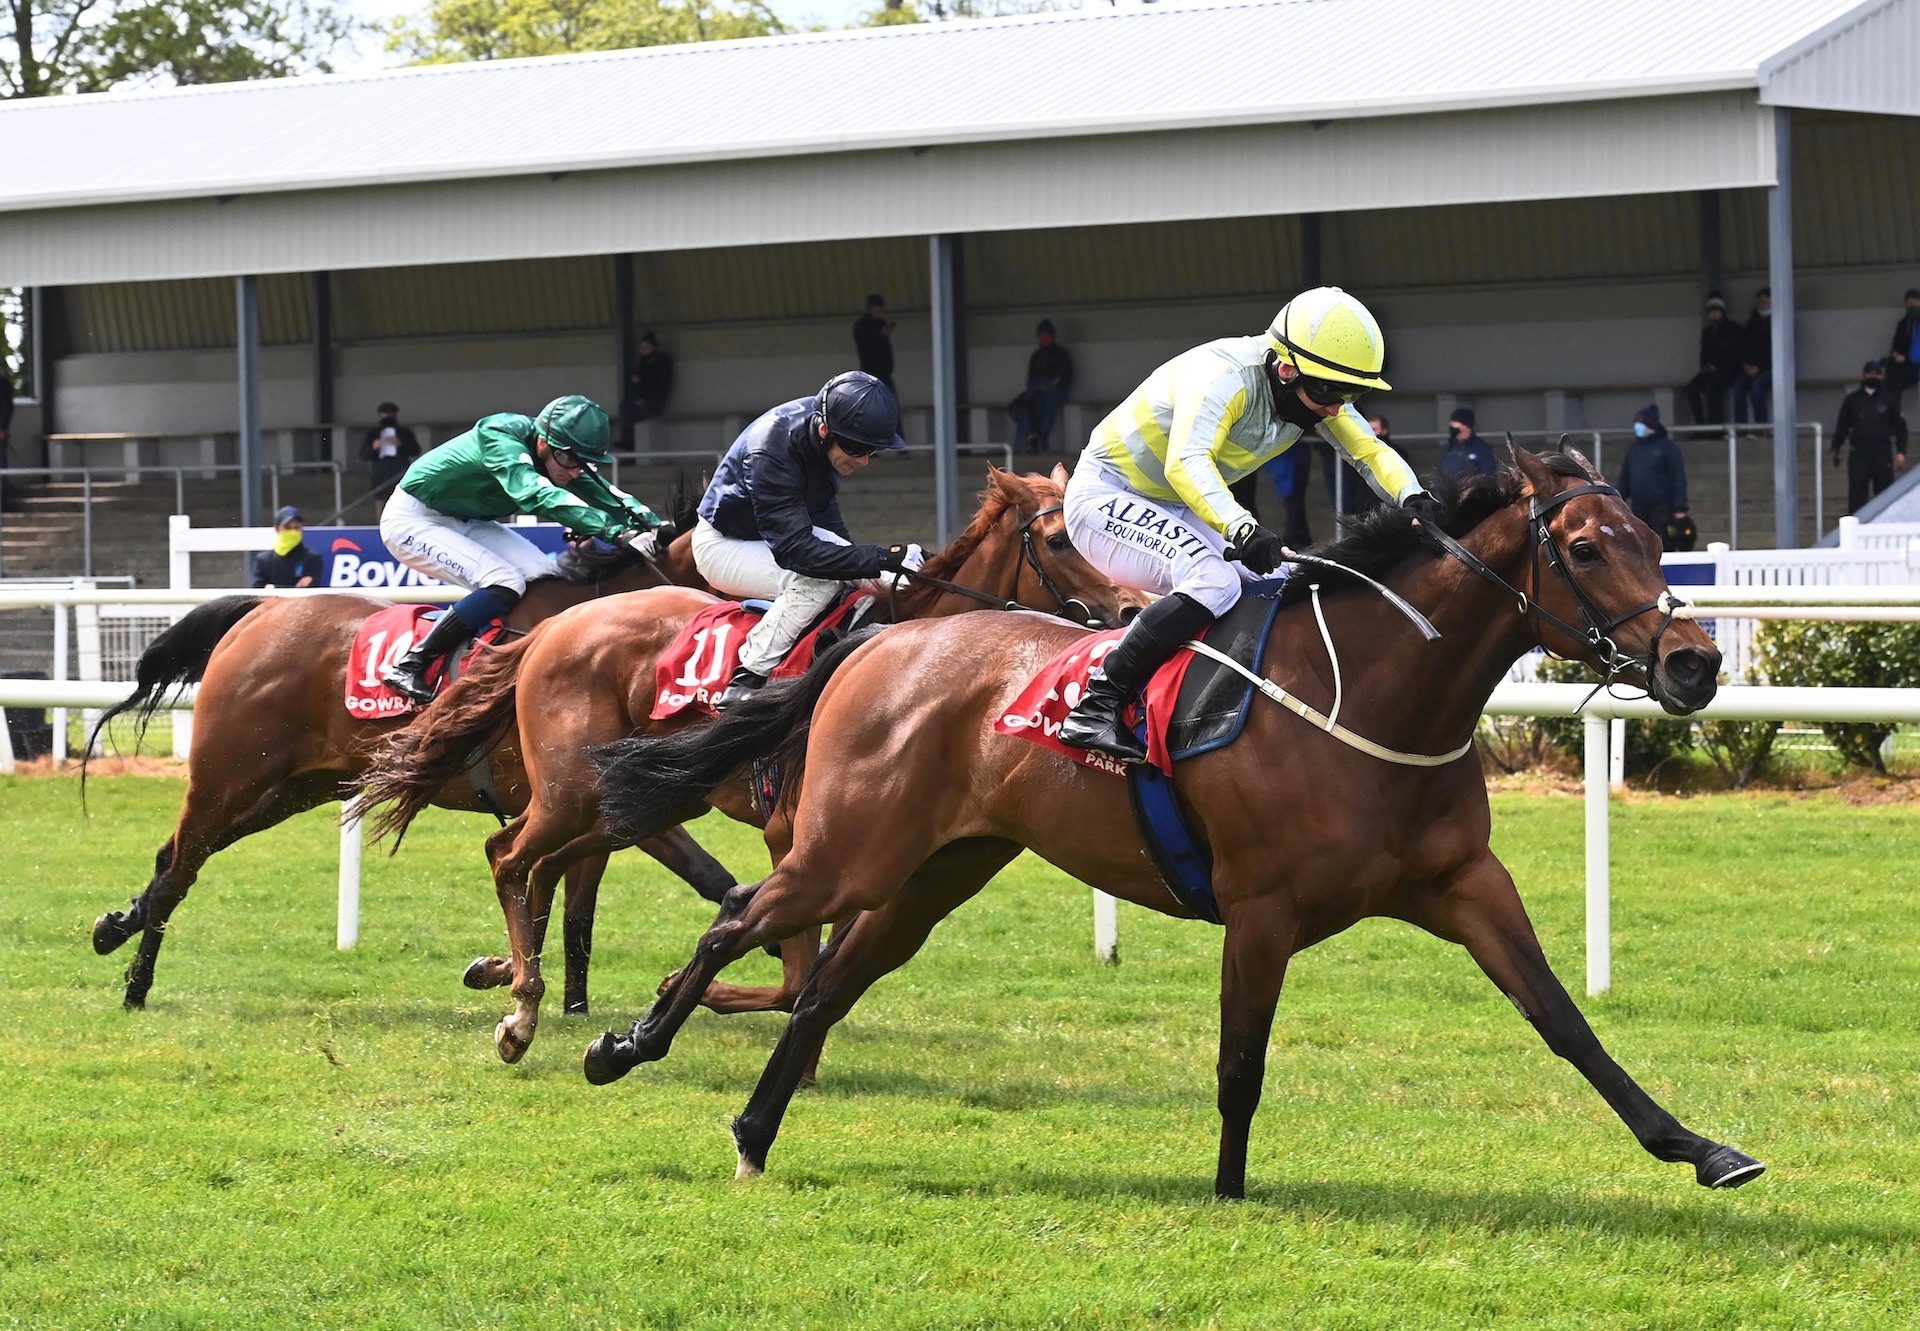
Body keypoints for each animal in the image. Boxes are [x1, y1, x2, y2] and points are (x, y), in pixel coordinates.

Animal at [80, 526, 733, 1014]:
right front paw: (513, 979)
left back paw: (116, 927)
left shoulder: (614, 808)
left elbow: (579, 907)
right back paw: (136, 986)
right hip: (228, 775)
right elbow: (679, 881)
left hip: (290, 789)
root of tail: (262, 609)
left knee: (178, 858)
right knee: (181, 865)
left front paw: (559, 1000)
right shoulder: (595, 802)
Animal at [351, 462, 1128, 1067]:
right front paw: (676, 998)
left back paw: (508, 976)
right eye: (1060, 538)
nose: (1130, 608)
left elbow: (807, 964)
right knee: (508, 853)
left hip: (644, 794)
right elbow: (792, 975)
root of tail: (553, 626)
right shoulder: (794, 833)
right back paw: (521, 1013)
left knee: (542, 866)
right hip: (573, 789)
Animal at [583, 451, 1766, 1198]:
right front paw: (1231, 1191)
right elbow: (1241, 1063)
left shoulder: (1465, 883)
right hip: (848, 849)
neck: (1372, 693)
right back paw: (622, 1044)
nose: (1694, 663)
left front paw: (1703, 1147)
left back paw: (752, 1131)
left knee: (826, 985)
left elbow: (1565, 1021)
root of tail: (882, 642)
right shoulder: (1261, 908)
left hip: (935, 870)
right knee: (740, 915)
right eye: (1585, 547)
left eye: (1653, 536)